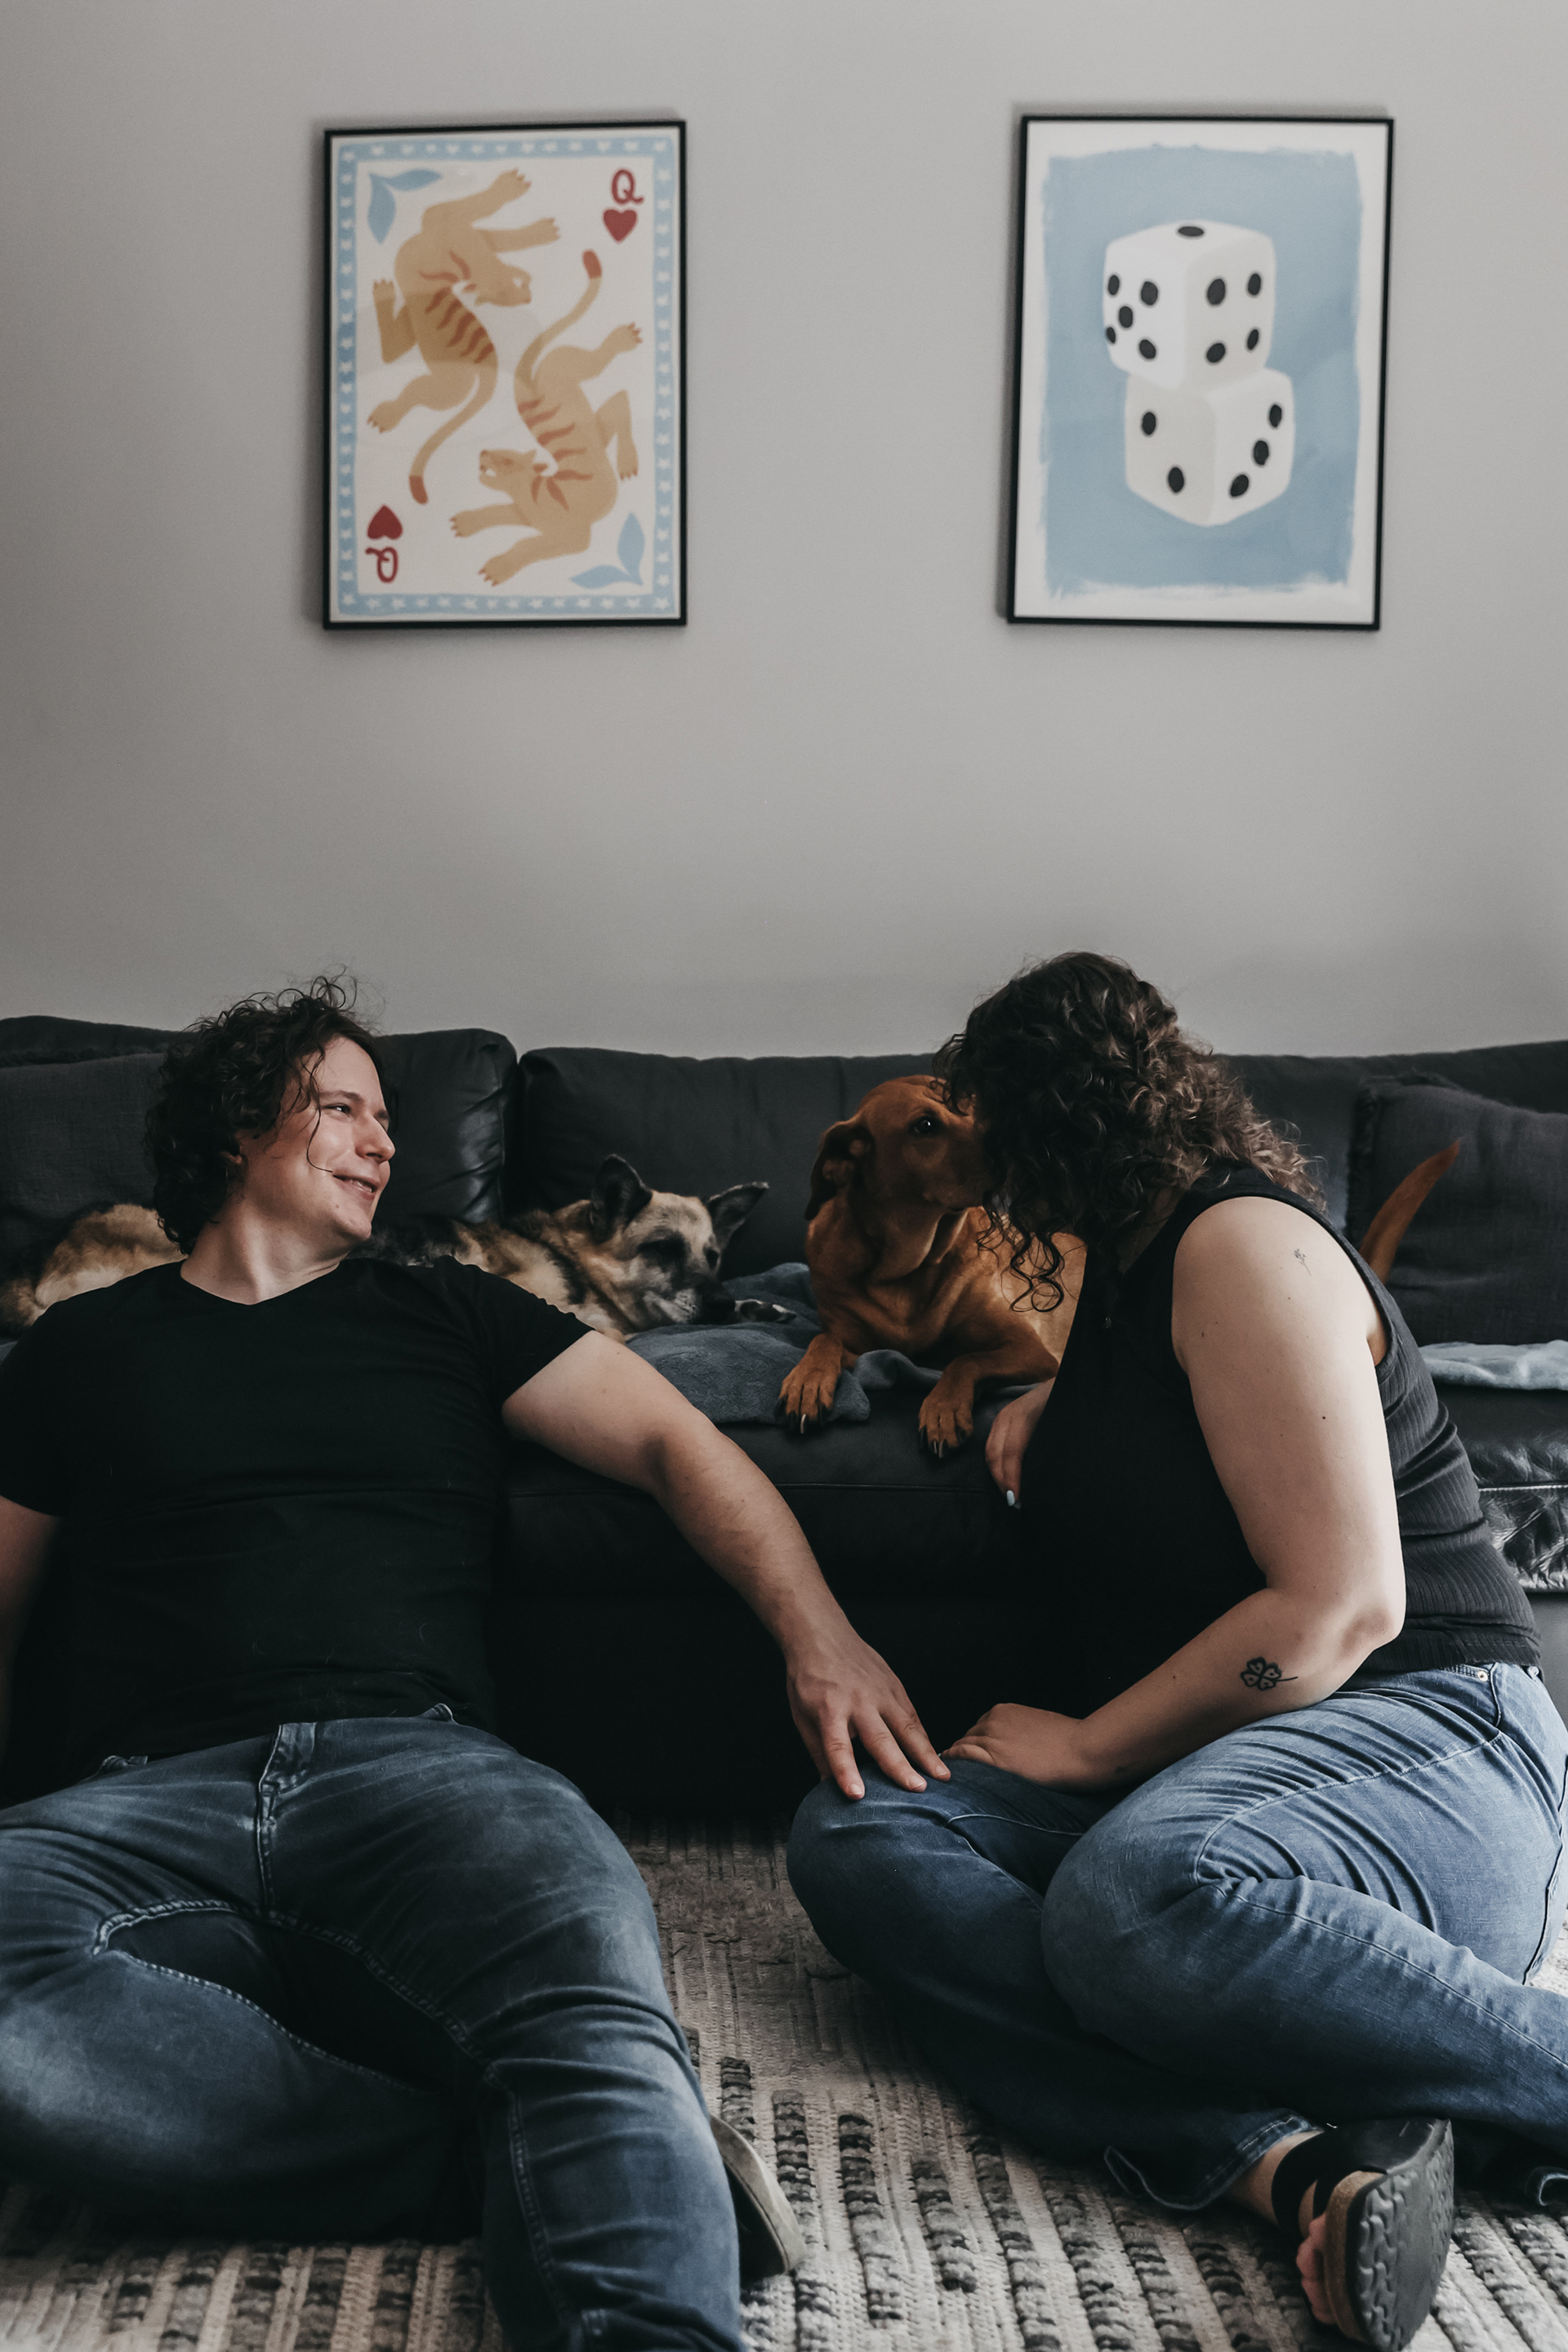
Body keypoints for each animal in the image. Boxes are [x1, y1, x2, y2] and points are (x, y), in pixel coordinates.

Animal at [778, 1077, 1084, 1455]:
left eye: (980, 1111)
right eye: (925, 1126)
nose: (1015, 1146)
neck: (904, 1268)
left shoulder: (1031, 1351)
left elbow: (965, 1360)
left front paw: (943, 1409)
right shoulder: (855, 1344)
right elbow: (824, 1339)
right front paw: (806, 1381)